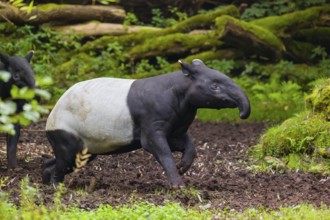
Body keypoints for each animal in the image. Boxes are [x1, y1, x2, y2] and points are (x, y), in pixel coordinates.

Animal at [43, 59, 250, 188]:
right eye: (214, 86)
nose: (243, 113)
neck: (180, 94)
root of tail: (48, 120)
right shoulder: (152, 124)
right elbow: (161, 150)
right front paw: (178, 185)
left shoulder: (175, 128)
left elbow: (189, 145)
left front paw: (183, 166)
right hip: (66, 131)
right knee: (64, 159)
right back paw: (55, 187)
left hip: (87, 147)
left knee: (62, 161)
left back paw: (44, 180)